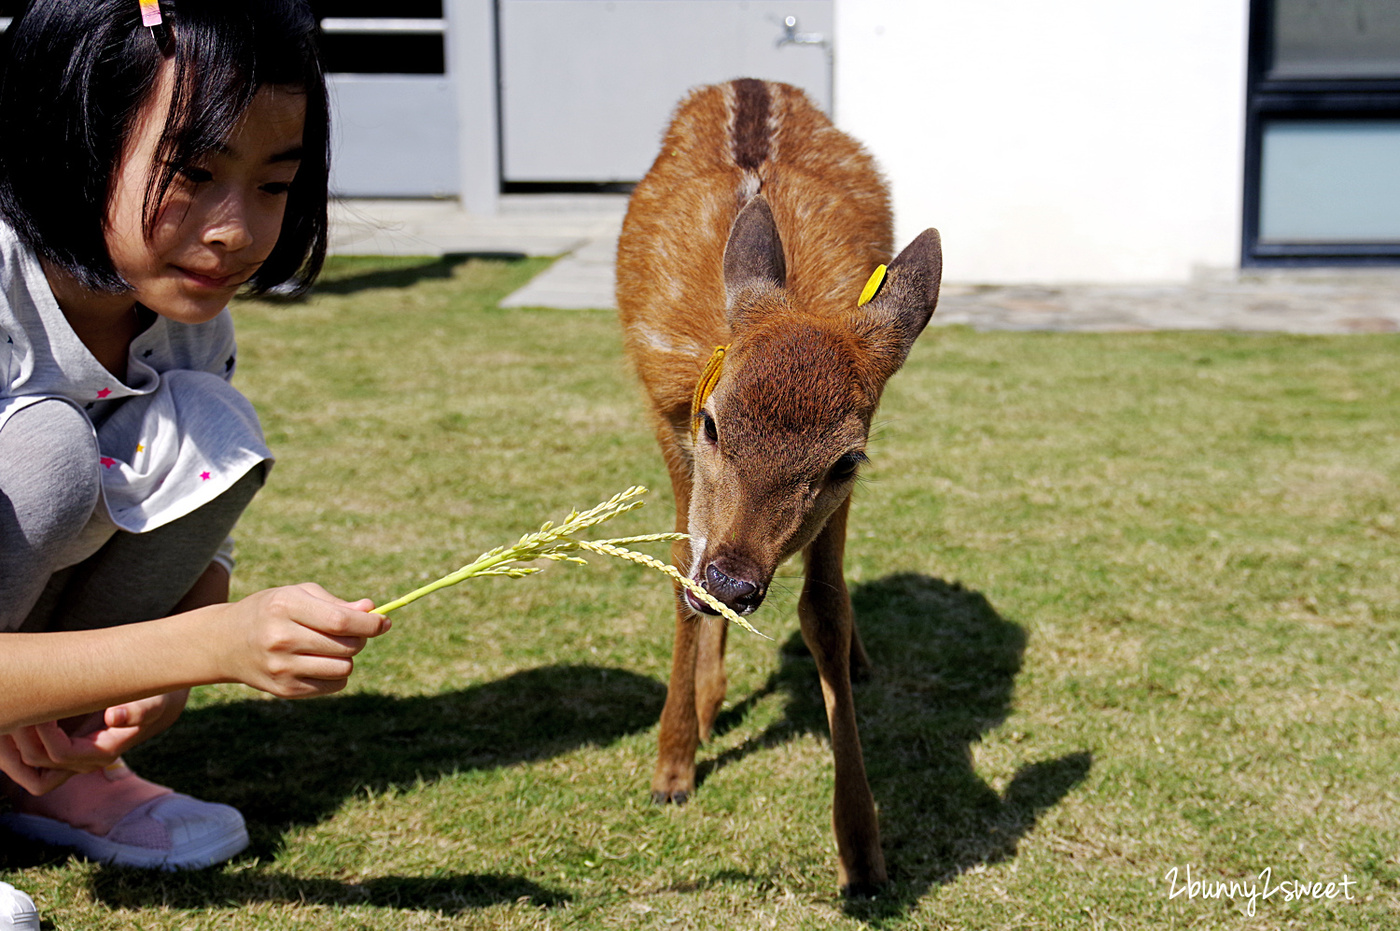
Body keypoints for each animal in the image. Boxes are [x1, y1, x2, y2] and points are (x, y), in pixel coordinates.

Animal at [613, 78, 940, 896]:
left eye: (846, 460)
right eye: (711, 422)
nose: (734, 580)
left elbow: (824, 609)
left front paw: (863, 851)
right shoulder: (664, 415)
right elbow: (676, 575)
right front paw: (671, 769)